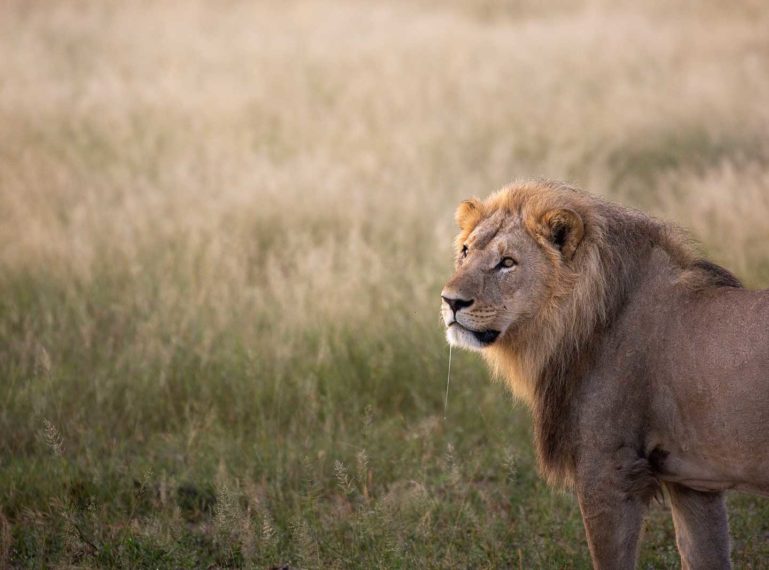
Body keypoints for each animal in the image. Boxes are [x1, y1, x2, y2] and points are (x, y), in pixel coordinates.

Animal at [438, 180, 768, 564]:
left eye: (507, 263)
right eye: (465, 251)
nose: (450, 301)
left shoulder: (608, 470)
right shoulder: (692, 481)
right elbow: (703, 554)